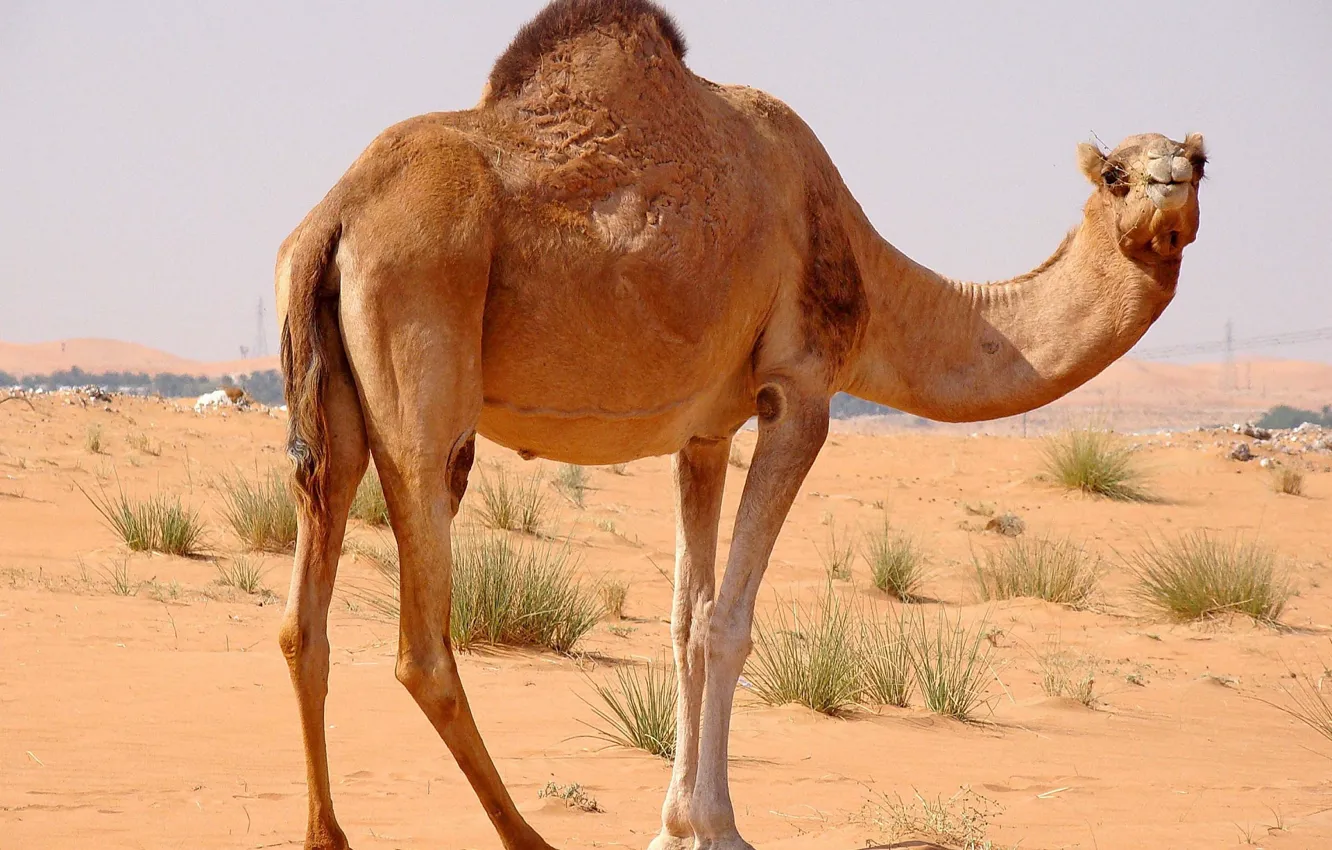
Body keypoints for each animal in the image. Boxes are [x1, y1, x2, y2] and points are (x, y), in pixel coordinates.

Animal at [273, 1, 1206, 848]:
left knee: (303, 617)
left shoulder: (704, 433)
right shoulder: (800, 392)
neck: (870, 277)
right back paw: (526, 837)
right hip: (426, 360)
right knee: (421, 641)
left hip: (333, 402)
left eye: (1199, 160)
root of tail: (333, 217)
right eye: (1115, 174)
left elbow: (686, 621)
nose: (1169, 191)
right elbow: (728, 623)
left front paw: (674, 826)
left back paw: (329, 834)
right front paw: (719, 829)